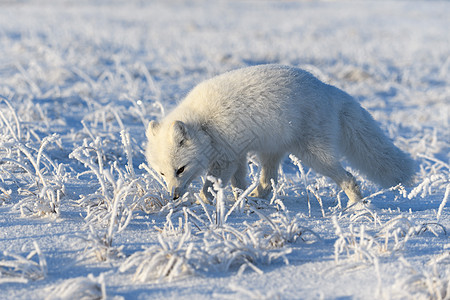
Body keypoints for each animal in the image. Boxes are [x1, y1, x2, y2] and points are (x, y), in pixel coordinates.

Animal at [145, 64, 414, 206]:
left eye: (180, 169)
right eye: (162, 173)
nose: (173, 195)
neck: (204, 125)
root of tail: (329, 89)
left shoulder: (225, 158)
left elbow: (210, 188)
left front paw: (203, 203)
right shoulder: (237, 154)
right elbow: (238, 183)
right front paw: (240, 201)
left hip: (314, 155)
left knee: (348, 177)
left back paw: (357, 206)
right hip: (271, 151)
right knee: (267, 183)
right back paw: (257, 199)